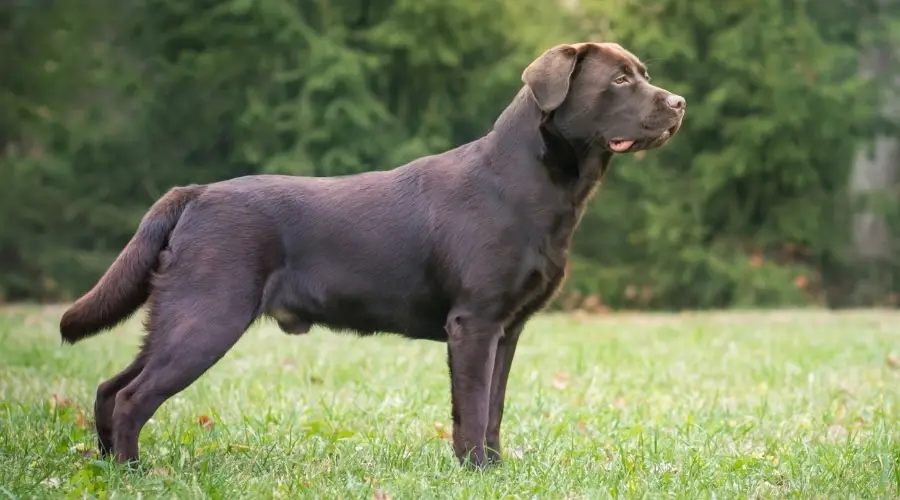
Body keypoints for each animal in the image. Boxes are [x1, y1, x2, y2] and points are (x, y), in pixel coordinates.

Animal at [59, 41, 684, 466]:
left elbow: (495, 409)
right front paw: (477, 471)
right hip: (208, 315)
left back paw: (111, 467)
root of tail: (195, 193)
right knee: (133, 395)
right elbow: (473, 407)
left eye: (645, 75)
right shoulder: (474, 323)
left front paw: (495, 467)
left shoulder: (508, 329)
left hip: (179, 314)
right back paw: (136, 472)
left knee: (110, 388)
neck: (527, 183)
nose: (679, 102)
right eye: (621, 79)